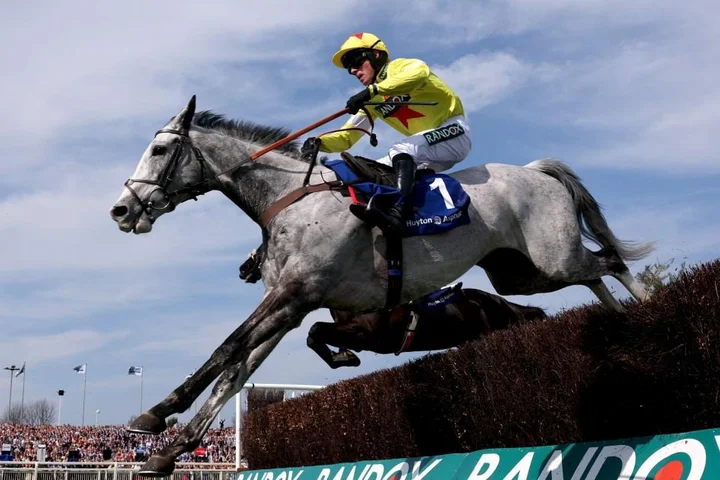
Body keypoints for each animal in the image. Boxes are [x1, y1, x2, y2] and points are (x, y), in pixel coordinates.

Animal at [239, 246, 548, 368]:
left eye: (265, 246)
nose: (243, 268)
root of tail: (498, 302)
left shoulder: (370, 335)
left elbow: (315, 329)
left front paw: (344, 358)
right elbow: (316, 334)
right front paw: (342, 357)